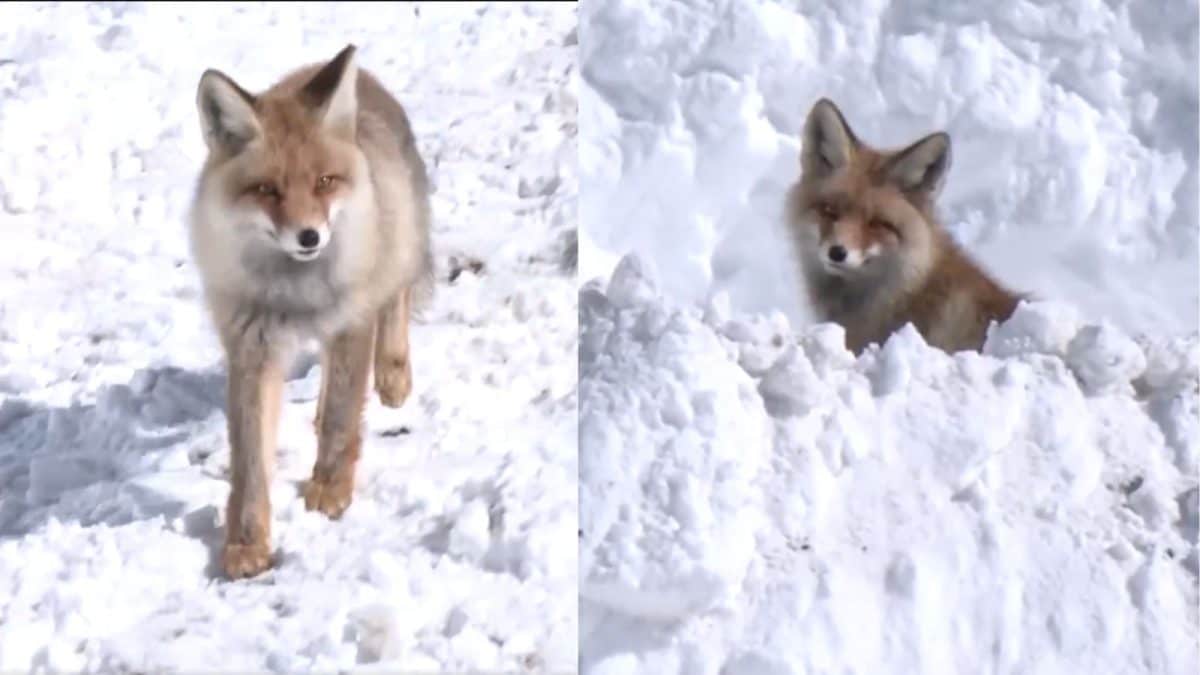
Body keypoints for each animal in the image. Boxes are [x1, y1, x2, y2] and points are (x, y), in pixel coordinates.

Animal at [188, 44, 433, 579]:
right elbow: (251, 462)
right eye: (267, 190)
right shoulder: (252, 348)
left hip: (397, 247)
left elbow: (342, 418)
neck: (294, 295)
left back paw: (393, 374)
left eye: (324, 182)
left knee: (397, 296)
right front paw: (246, 543)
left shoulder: (350, 323)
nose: (309, 237)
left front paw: (330, 490)